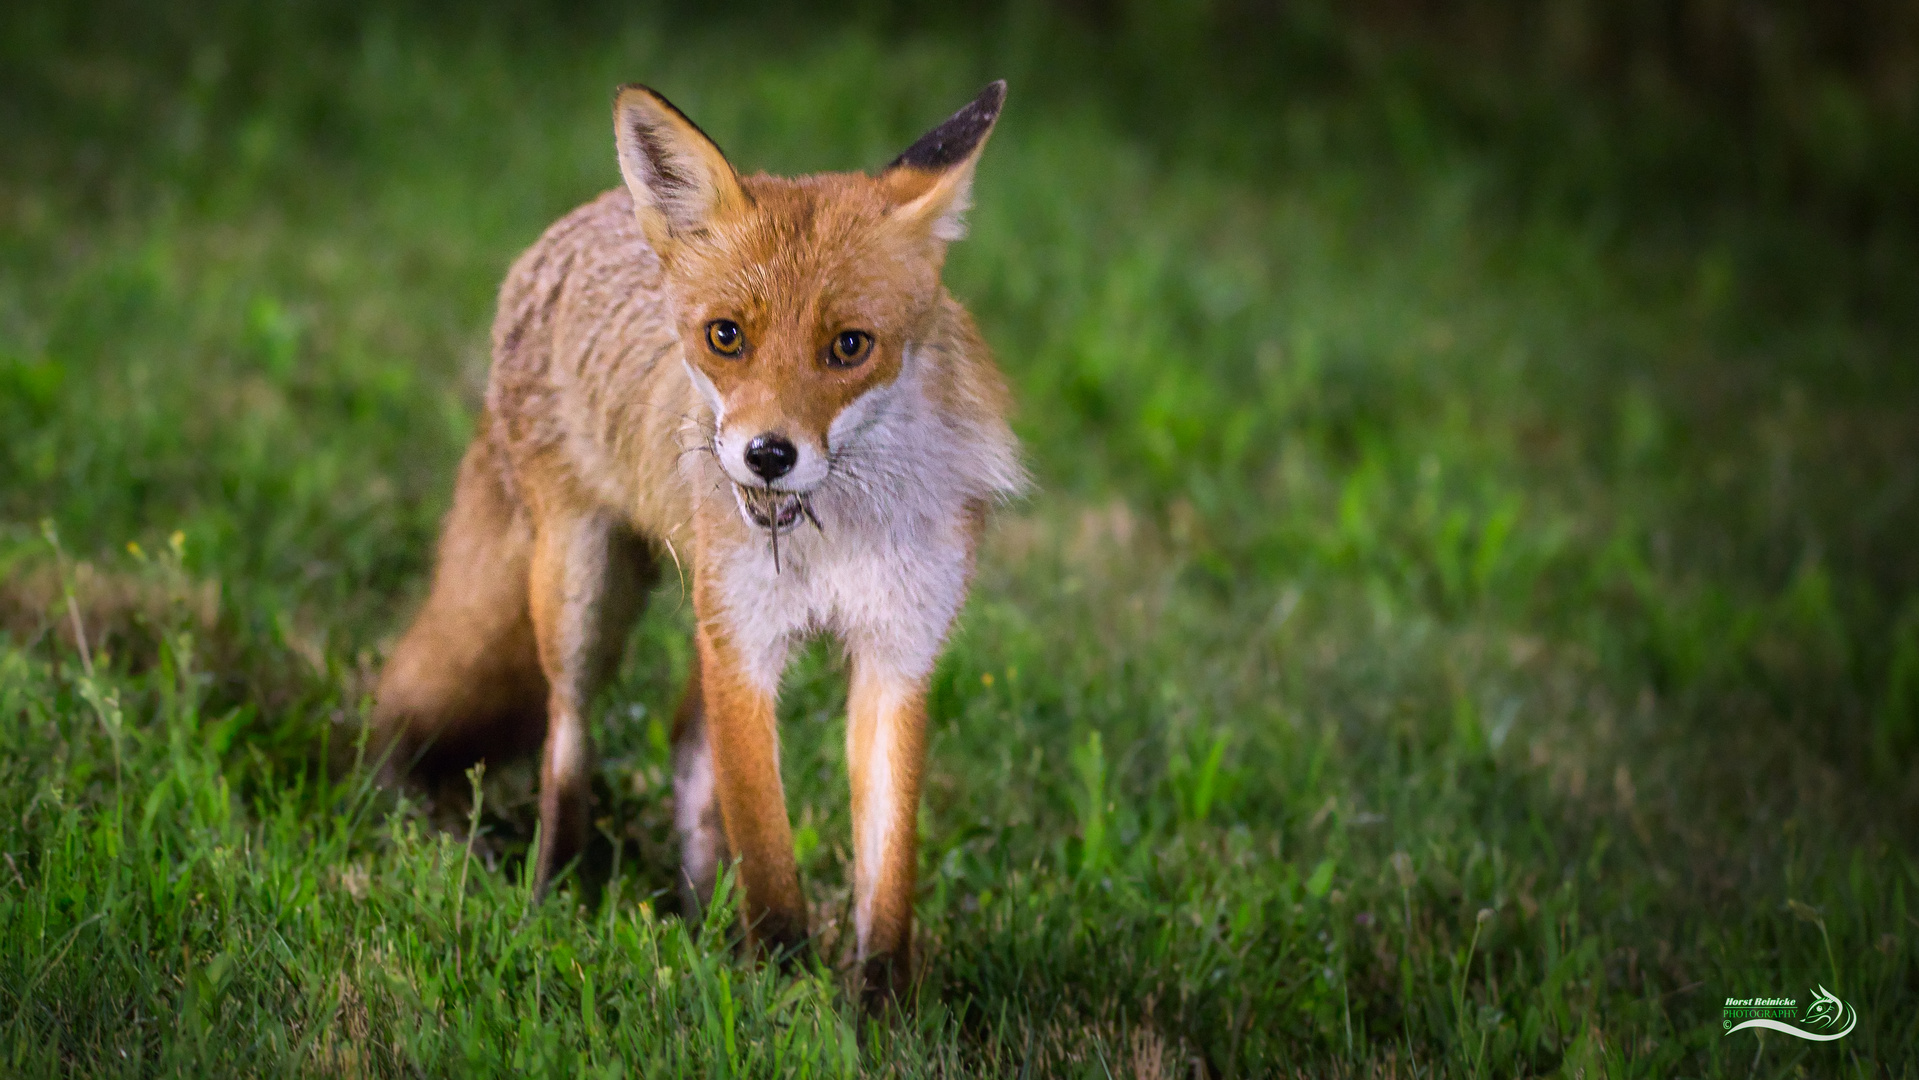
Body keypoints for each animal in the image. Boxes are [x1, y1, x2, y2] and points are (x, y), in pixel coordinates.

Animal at [362, 80, 1020, 1005]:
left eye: (849, 347)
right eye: (725, 336)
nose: (768, 455)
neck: (834, 535)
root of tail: (587, 216)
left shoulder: (896, 652)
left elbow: (885, 879)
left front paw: (879, 1014)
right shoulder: (742, 647)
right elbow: (769, 855)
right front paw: (785, 992)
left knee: (683, 744)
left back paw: (700, 913)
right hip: (580, 594)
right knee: (567, 741)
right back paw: (551, 894)